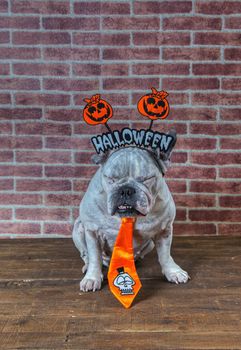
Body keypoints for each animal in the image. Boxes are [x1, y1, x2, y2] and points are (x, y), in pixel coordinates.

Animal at [72, 130, 189, 292]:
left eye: (147, 179)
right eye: (111, 178)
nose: (126, 190)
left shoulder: (164, 230)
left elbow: (165, 255)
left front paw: (173, 272)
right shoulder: (92, 231)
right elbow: (95, 256)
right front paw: (92, 278)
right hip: (78, 228)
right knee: (86, 255)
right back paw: (88, 266)